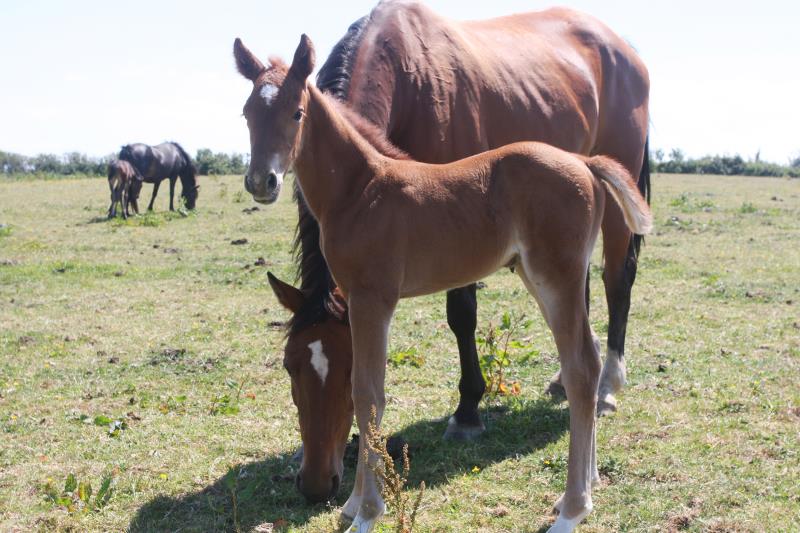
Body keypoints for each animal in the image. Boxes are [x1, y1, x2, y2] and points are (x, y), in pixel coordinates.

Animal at [234, 34, 652, 532]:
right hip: (540, 276)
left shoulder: (373, 299)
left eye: (296, 112)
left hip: (559, 276)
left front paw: (367, 513)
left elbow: (368, 394)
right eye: (246, 112)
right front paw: (354, 504)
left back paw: (572, 509)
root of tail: (585, 163)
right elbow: (366, 396)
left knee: (582, 367)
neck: (361, 190)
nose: (262, 181)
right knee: (583, 361)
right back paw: (581, 491)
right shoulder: (356, 301)